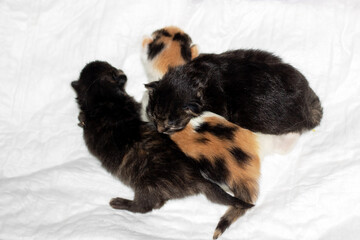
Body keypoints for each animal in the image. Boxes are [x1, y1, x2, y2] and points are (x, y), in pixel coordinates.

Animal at [71, 60, 253, 236]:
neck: (103, 98)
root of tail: (197, 178)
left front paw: (80, 119)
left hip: (146, 185)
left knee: (145, 206)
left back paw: (121, 202)